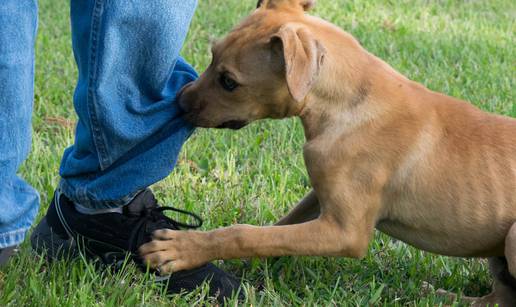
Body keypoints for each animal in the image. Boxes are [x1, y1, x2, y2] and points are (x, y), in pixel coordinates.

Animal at [139, 0, 512, 304]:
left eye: (229, 82)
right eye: (212, 54)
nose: (180, 102)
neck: (349, 102)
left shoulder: (344, 231)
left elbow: (245, 233)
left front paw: (182, 249)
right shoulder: (320, 196)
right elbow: (274, 231)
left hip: (512, 237)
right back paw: (441, 296)